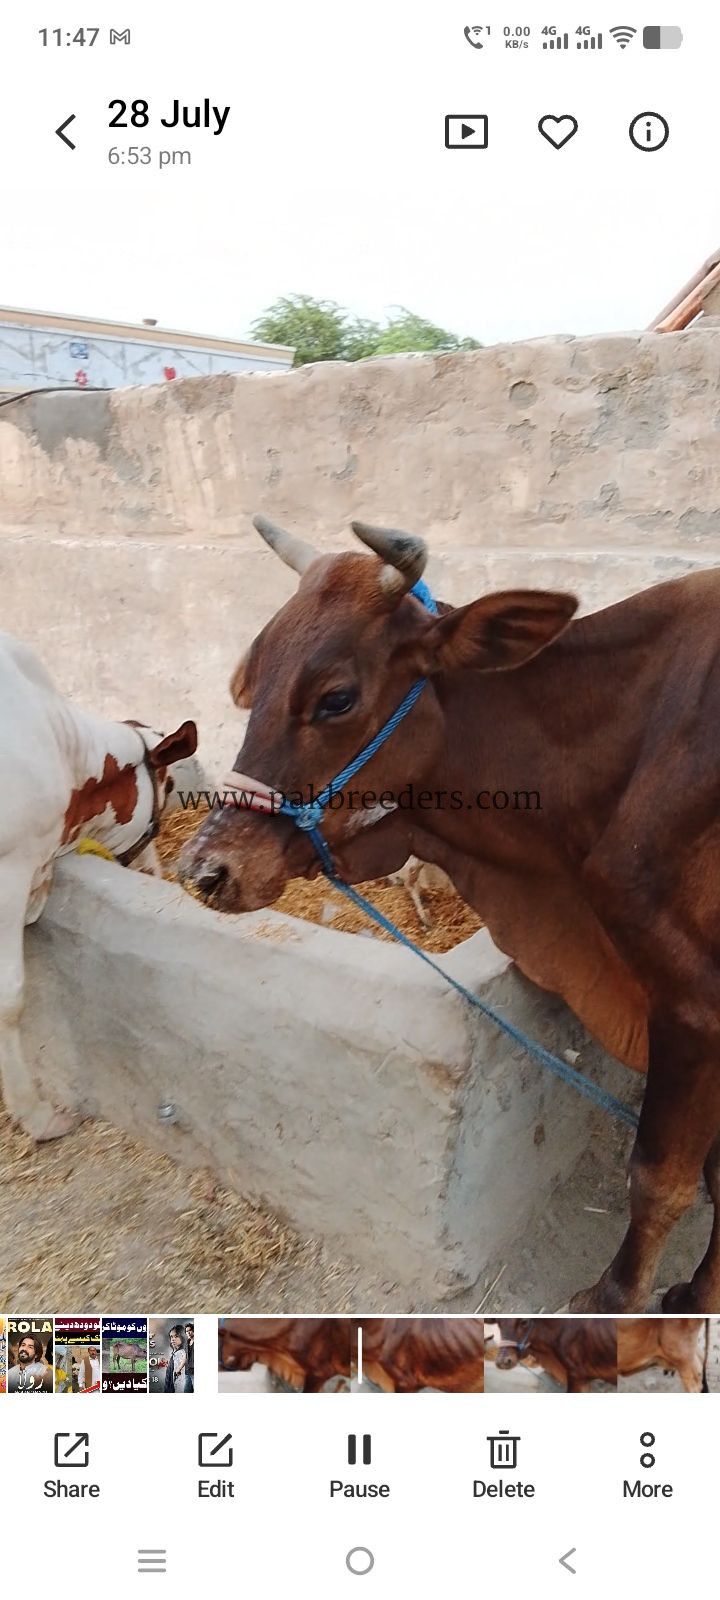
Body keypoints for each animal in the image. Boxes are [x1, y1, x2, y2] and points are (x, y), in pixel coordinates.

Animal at [180, 513, 720, 1314]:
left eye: (336, 698)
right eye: (248, 684)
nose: (207, 868)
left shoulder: (691, 1007)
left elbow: (660, 1178)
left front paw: (617, 1305)